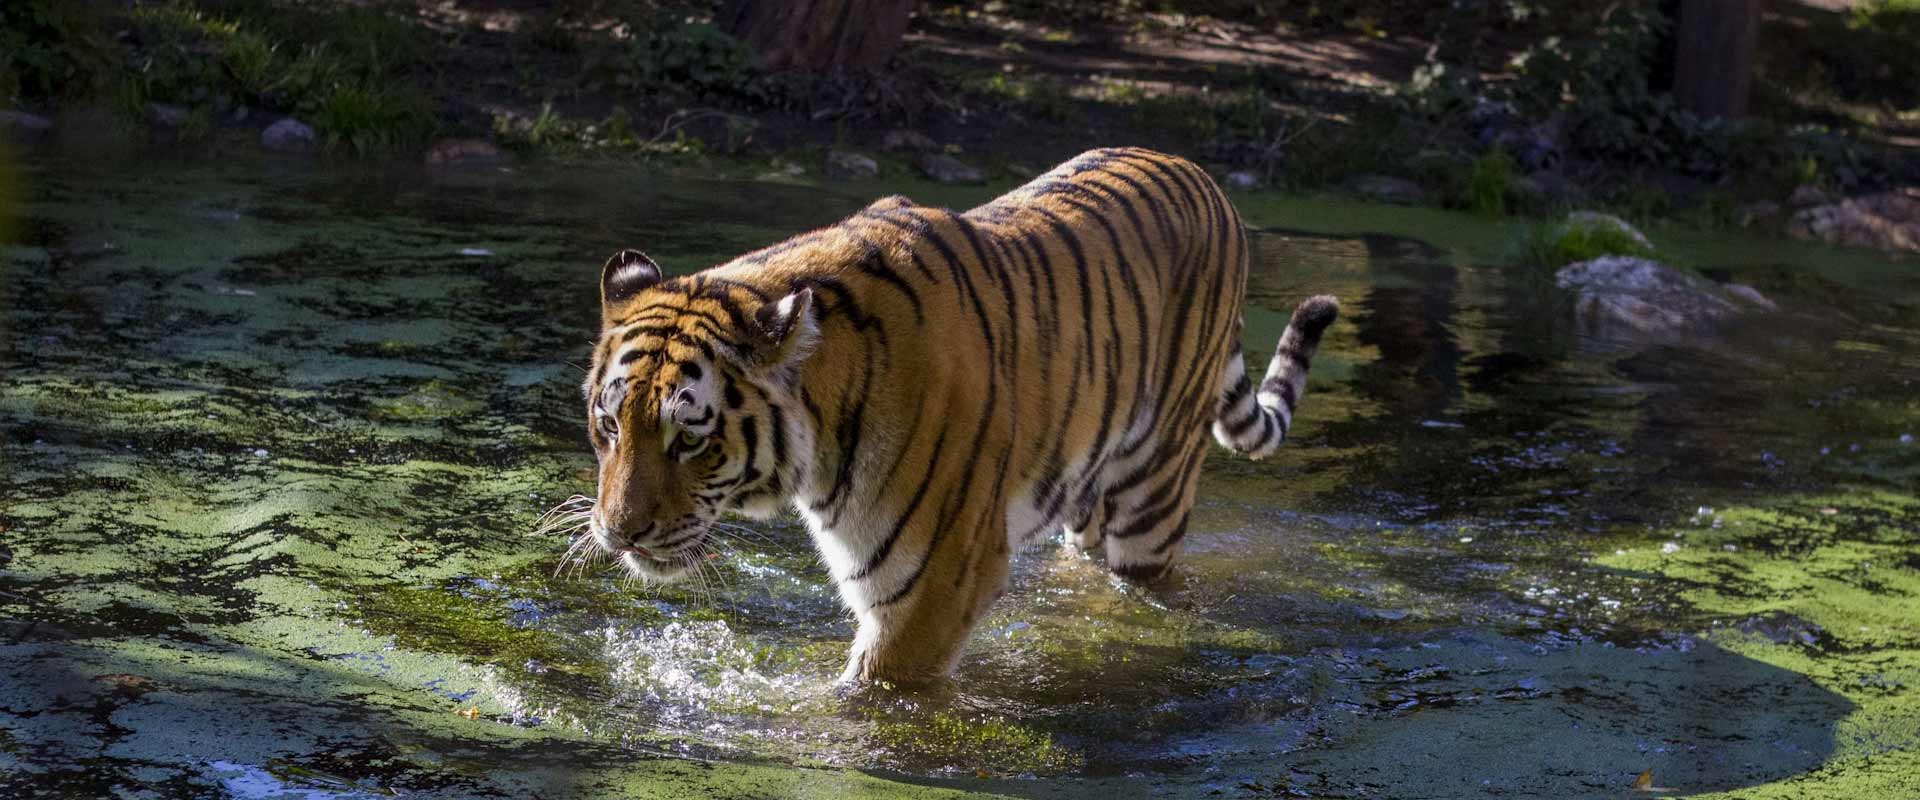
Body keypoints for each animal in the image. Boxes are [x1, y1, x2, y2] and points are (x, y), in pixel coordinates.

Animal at [577, 147, 1337, 684]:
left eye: (688, 439)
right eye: (610, 426)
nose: (617, 533)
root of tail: (1206, 179)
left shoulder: (934, 583)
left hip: (1153, 497)